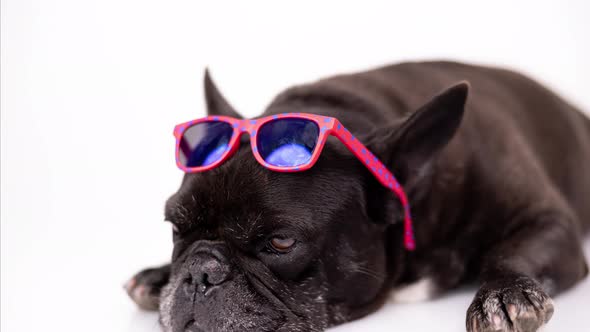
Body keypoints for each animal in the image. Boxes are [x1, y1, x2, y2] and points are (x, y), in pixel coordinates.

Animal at [126, 61, 590, 330]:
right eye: (175, 228)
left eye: (281, 242)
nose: (199, 272)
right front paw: (158, 274)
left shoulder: (549, 223)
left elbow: (509, 250)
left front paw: (504, 293)